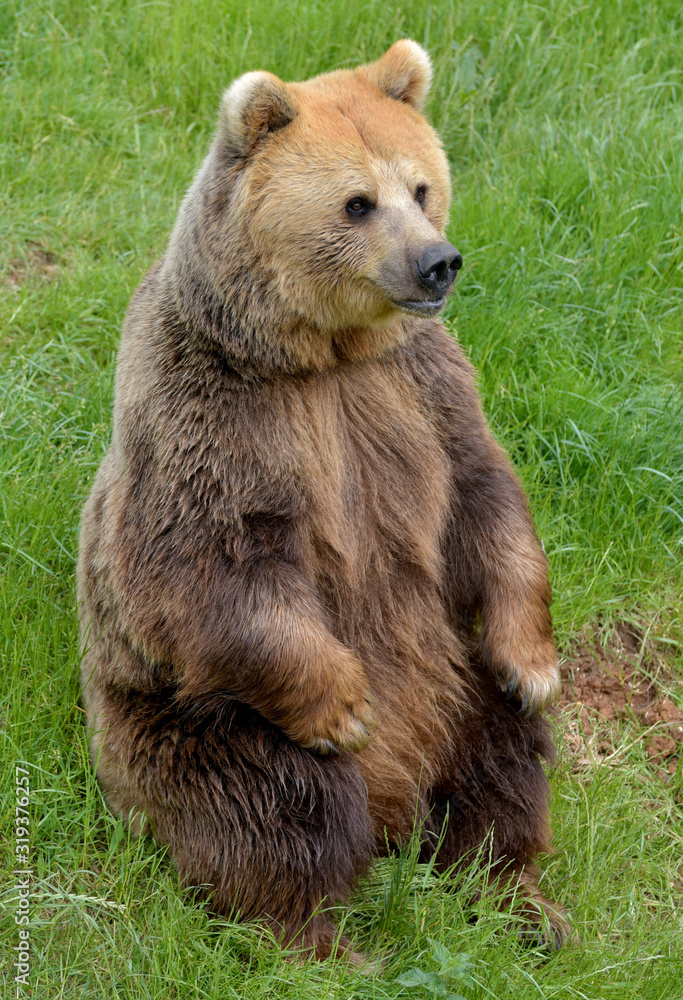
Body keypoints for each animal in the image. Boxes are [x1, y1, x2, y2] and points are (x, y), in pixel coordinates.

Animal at [77, 39, 568, 961]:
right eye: (356, 202)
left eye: (421, 186)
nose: (437, 262)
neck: (323, 356)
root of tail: (396, 811)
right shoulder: (214, 408)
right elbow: (205, 560)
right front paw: (343, 708)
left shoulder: (420, 392)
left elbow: (485, 500)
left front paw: (535, 664)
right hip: (188, 724)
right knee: (275, 809)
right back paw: (321, 936)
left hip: (453, 676)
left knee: (501, 765)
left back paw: (521, 897)